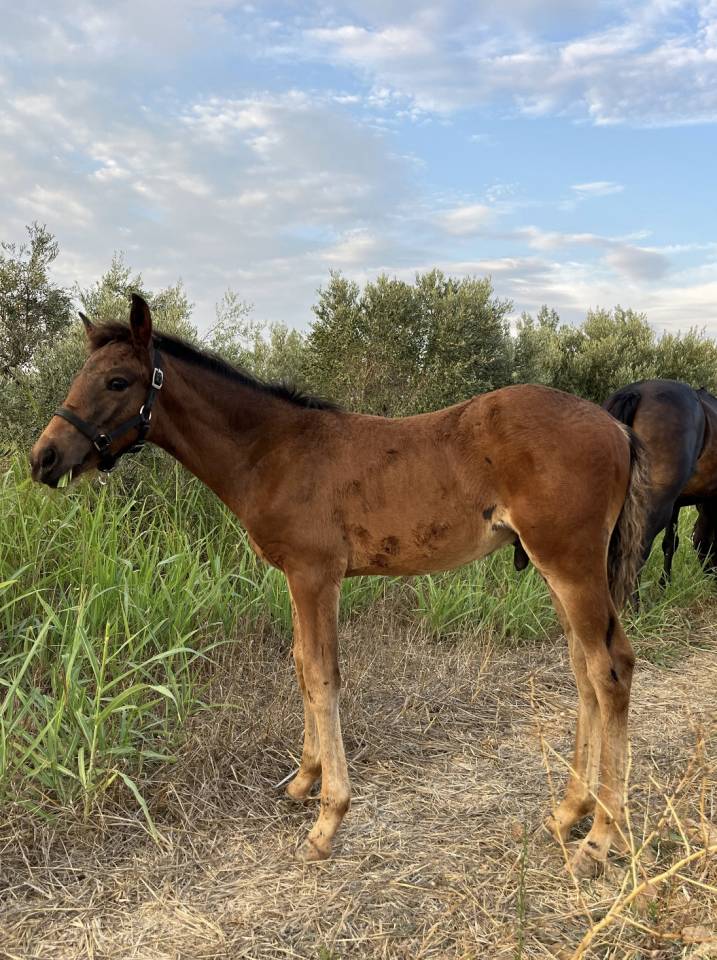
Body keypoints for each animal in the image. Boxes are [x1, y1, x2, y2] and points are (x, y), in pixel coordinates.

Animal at [30, 294, 648, 877]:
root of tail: (616, 427)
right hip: (557, 569)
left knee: (610, 669)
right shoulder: (295, 578)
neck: (274, 451)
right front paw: (302, 782)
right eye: (80, 375)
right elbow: (302, 666)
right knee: (584, 672)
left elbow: (323, 677)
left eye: (117, 380)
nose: (44, 458)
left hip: (570, 563)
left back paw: (599, 840)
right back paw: (567, 814)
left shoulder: (315, 575)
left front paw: (326, 823)